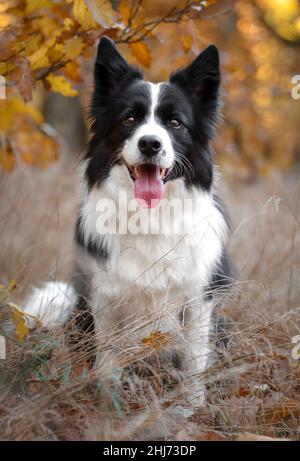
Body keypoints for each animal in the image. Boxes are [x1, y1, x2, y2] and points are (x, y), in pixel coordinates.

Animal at [25, 37, 232, 404]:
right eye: (130, 118)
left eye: (175, 123)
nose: (150, 143)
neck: (149, 217)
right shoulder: (104, 298)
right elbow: (108, 360)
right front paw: (108, 404)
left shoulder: (198, 300)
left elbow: (194, 363)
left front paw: (192, 409)